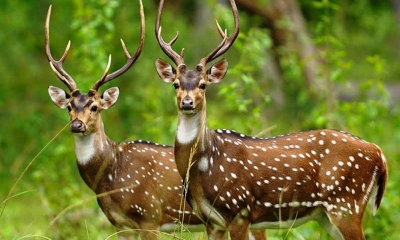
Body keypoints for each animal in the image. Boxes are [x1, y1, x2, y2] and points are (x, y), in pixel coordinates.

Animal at [153, 0, 388, 238]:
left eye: (203, 85)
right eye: (176, 84)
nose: (187, 103)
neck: (202, 168)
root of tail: (379, 153)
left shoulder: (239, 211)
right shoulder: (211, 222)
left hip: (346, 203)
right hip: (327, 214)